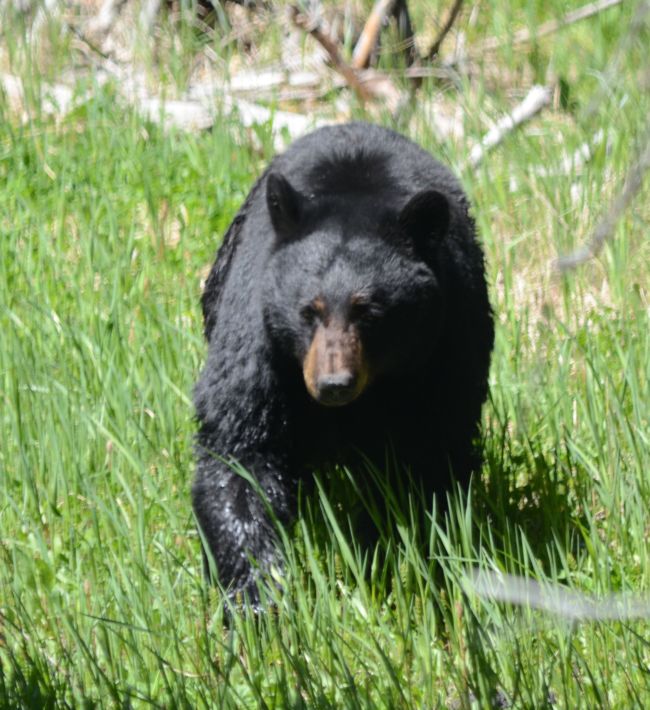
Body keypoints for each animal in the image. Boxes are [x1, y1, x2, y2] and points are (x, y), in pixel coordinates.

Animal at [193, 122, 494, 605]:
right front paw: (259, 595)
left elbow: (428, 459)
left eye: (368, 310)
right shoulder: (260, 339)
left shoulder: (445, 348)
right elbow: (240, 449)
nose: (333, 384)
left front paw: (389, 560)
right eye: (307, 310)